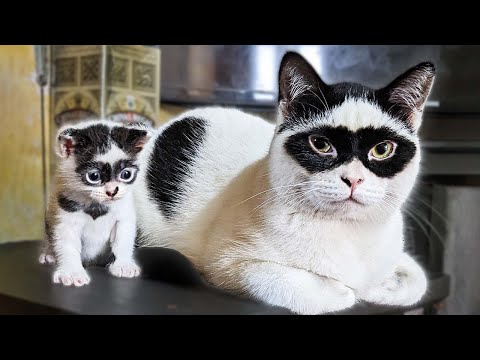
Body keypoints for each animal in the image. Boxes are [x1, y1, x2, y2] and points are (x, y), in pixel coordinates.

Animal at [40, 120, 150, 286]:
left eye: (126, 174)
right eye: (94, 176)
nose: (112, 191)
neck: (96, 205)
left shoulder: (124, 217)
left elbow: (123, 240)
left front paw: (123, 265)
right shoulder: (65, 218)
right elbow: (68, 245)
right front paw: (72, 272)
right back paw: (49, 254)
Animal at [135, 52, 436, 314]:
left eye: (382, 149)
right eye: (320, 145)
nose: (353, 179)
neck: (348, 234)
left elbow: (418, 279)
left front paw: (382, 286)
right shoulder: (228, 263)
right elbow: (311, 290)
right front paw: (346, 290)